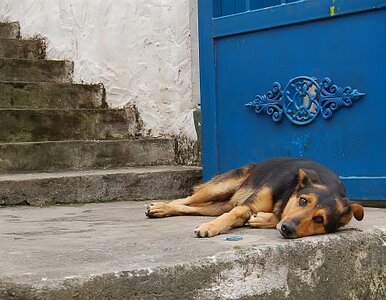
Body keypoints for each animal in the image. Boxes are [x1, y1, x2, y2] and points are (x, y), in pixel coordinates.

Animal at [146, 157, 364, 239]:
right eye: (303, 201)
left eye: (319, 219)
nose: (287, 229)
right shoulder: (248, 204)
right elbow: (237, 214)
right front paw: (210, 227)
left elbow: (270, 217)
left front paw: (263, 219)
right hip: (221, 187)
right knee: (186, 200)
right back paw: (160, 206)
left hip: (219, 205)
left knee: (192, 207)